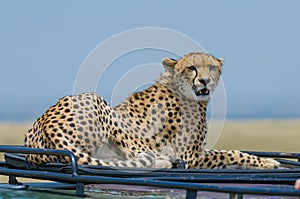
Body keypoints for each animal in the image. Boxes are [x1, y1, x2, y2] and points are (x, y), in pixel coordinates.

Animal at [24, 52, 280, 169]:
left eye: (212, 67)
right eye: (192, 68)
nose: (205, 81)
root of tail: (45, 122)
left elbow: (229, 153)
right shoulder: (191, 156)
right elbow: (231, 152)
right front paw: (268, 162)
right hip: (99, 103)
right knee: (133, 155)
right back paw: (162, 162)